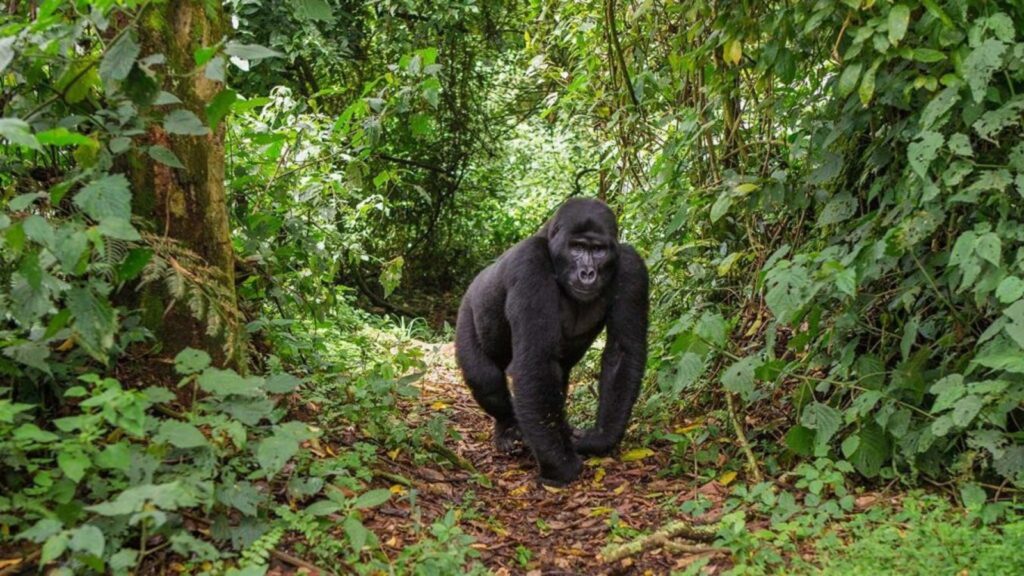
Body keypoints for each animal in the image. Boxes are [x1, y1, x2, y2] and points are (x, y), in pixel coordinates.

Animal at [456, 196, 647, 483]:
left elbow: (622, 354)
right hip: (467, 309)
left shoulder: (632, 266)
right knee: (485, 379)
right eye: (576, 247)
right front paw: (560, 465)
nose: (587, 272)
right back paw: (507, 428)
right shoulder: (530, 263)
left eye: (599, 250)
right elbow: (535, 360)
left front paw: (598, 439)